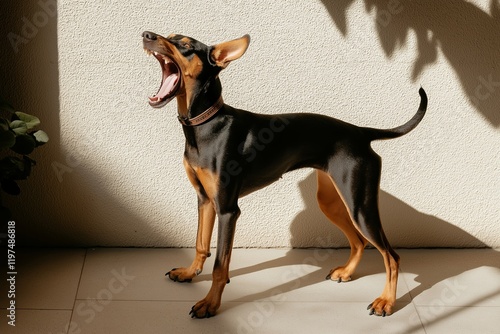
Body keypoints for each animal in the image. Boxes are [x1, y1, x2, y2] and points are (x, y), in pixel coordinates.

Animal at [143, 31, 428, 318]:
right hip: (332, 201)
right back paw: (347, 273)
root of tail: (359, 132)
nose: (146, 35)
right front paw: (189, 273)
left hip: (359, 205)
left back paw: (386, 301)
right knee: (359, 241)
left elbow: (220, 266)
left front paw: (210, 304)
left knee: (391, 256)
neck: (206, 124)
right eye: (170, 36)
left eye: (186, 46)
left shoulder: (227, 210)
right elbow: (201, 244)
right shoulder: (204, 200)